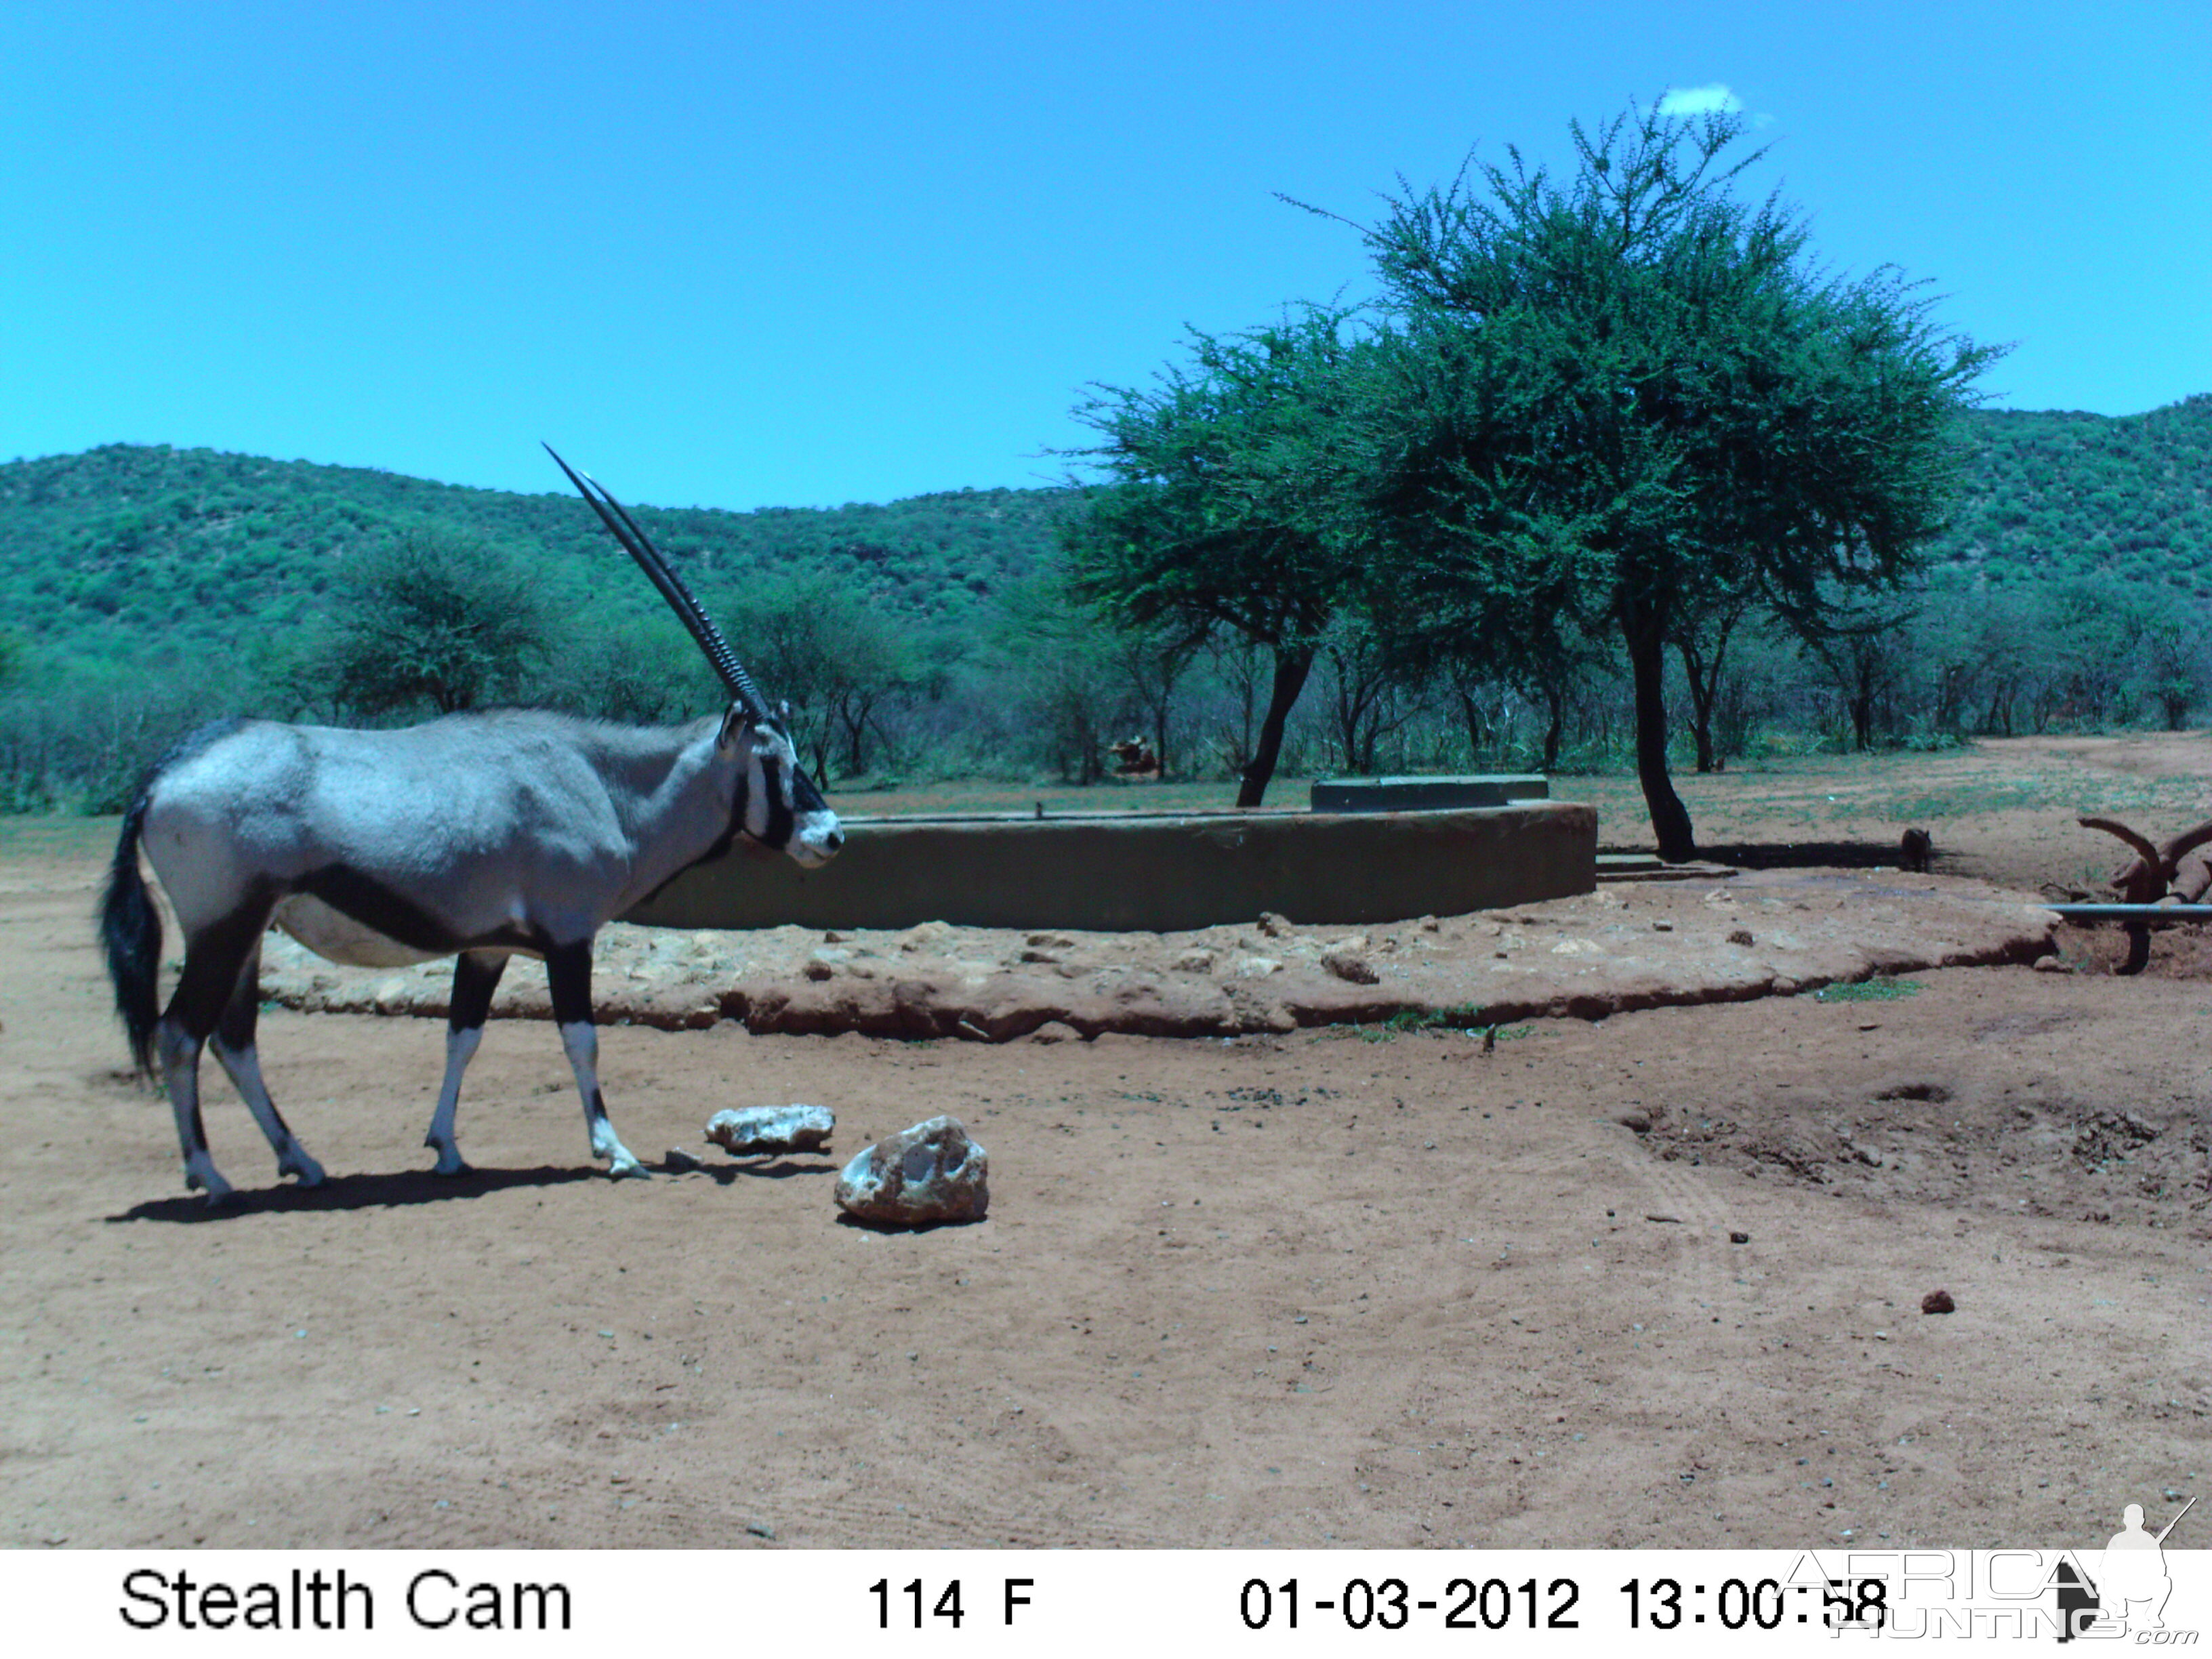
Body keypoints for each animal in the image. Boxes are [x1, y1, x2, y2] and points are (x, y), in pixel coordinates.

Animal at [95, 451, 840, 1212]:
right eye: (771, 759)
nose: (831, 835)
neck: (601, 782)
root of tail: (162, 777)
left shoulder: (488, 948)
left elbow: (463, 1036)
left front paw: (446, 1149)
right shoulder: (568, 938)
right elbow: (581, 1040)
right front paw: (615, 1151)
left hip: (246, 935)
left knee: (234, 1039)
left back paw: (298, 1160)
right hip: (222, 927)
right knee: (181, 1033)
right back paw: (209, 1176)